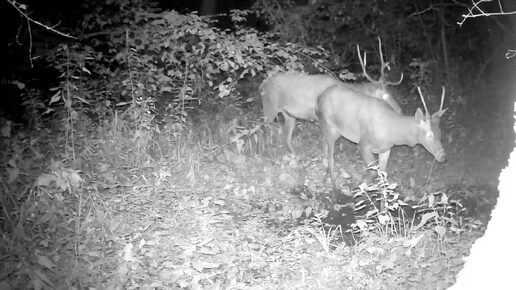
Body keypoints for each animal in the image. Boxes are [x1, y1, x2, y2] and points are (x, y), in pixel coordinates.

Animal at [262, 38, 404, 154]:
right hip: (269, 106)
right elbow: (325, 143)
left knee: (285, 137)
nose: (400, 110)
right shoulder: (322, 117)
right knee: (261, 128)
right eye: (385, 95)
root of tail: (262, 84)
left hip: (289, 114)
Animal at [316, 85, 446, 195]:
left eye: (440, 132)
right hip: (328, 126)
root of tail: (319, 96)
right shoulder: (363, 144)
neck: (392, 132)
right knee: (331, 158)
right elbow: (374, 172)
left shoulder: (386, 150)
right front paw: (358, 189)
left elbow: (383, 176)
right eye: (429, 135)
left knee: (323, 142)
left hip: (337, 132)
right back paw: (334, 192)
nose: (443, 157)